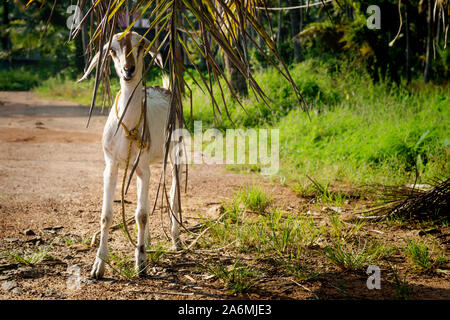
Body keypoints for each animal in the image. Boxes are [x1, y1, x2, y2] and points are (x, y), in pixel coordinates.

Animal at [79, 31, 183, 278]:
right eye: (112, 49)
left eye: (141, 45)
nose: (129, 70)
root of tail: (165, 88)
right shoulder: (111, 164)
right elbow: (107, 215)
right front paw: (98, 267)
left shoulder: (143, 166)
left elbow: (142, 214)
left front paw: (141, 264)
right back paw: (148, 241)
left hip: (176, 151)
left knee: (173, 195)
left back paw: (176, 241)